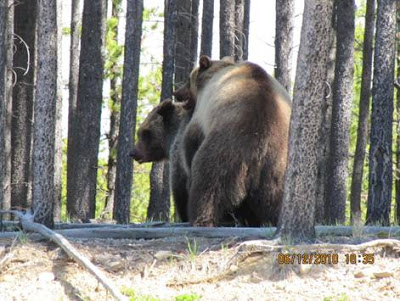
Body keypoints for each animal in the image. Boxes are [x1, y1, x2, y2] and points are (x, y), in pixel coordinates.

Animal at [184, 55, 290, 225]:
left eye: (188, 80)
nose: (176, 92)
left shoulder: (202, 113)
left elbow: (191, 140)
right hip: (277, 167)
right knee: (275, 198)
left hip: (226, 150)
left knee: (208, 184)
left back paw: (202, 218)